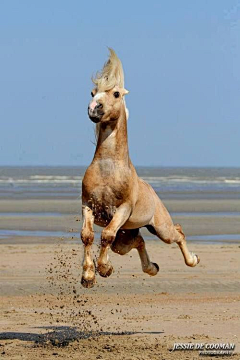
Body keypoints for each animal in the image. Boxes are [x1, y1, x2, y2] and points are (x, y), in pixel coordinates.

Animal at [80, 48, 199, 290]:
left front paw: (103, 268)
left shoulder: (122, 209)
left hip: (161, 228)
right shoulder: (88, 205)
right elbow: (87, 235)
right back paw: (152, 268)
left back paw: (193, 260)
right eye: (92, 92)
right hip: (127, 235)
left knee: (178, 232)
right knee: (139, 240)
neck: (108, 168)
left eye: (116, 93)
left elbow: (106, 235)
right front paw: (88, 276)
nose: (93, 109)